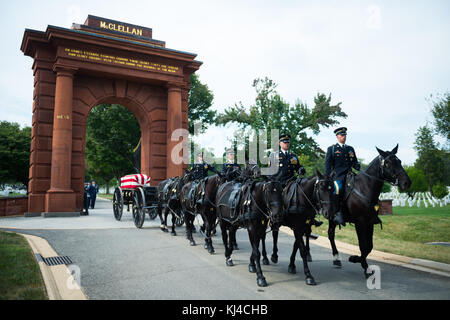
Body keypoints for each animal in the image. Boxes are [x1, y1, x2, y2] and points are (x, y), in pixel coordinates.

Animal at [326, 145, 412, 278]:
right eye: (387, 163)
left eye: (400, 161)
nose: (406, 182)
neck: (365, 188)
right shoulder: (360, 223)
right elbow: (363, 245)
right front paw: (361, 264)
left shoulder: (370, 222)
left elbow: (369, 247)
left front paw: (358, 260)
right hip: (331, 217)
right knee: (330, 234)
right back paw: (335, 258)